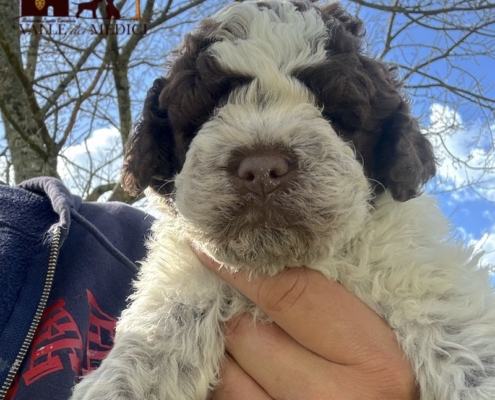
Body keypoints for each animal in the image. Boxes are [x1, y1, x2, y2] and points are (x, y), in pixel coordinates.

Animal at [70, 1, 495, 398]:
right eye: (205, 113)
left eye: (335, 113)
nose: (262, 168)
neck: (284, 262)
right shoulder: (189, 266)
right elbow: (167, 315)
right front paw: (122, 381)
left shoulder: (413, 265)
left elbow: (456, 328)